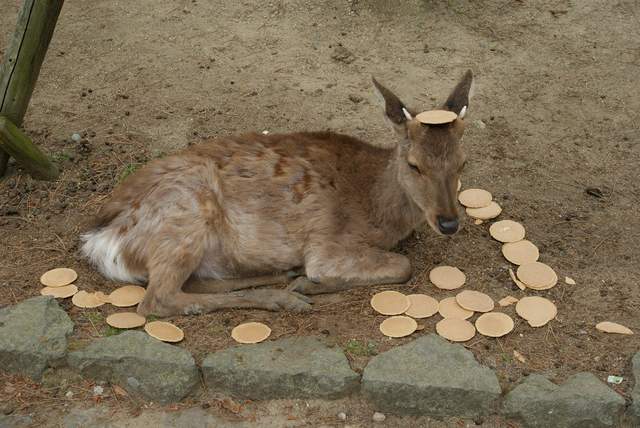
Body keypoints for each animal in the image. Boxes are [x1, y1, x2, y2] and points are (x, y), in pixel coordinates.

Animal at [81, 70, 473, 317]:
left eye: (463, 162)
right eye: (414, 164)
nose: (449, 223)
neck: (378, 211)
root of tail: (98, 239)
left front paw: (301, 281)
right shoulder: (328, 245)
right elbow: (403, 266)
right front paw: (310, 283)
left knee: (195, 284)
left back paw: (283, 279)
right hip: (183, 214)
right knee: (157, 300)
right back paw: (285, 297)